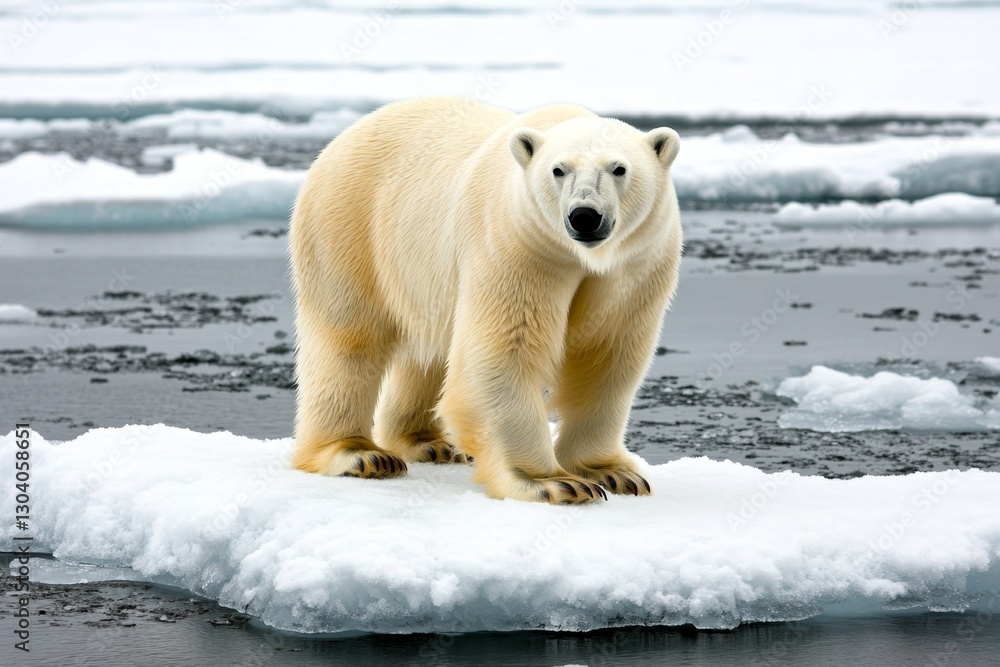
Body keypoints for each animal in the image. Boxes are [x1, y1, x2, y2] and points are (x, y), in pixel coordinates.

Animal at [289, 96, 682, 504]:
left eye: (619, 168)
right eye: (558, 170)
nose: (584, 216)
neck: (579, 256)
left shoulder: (636, 267)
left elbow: (607, 357)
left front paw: (615, 474)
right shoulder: (518, 245)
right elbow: (504, 352)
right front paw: (553, 482)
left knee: (428, 353)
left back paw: (428, 442)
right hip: (349, 226)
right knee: (349, 339)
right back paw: (359, 454)